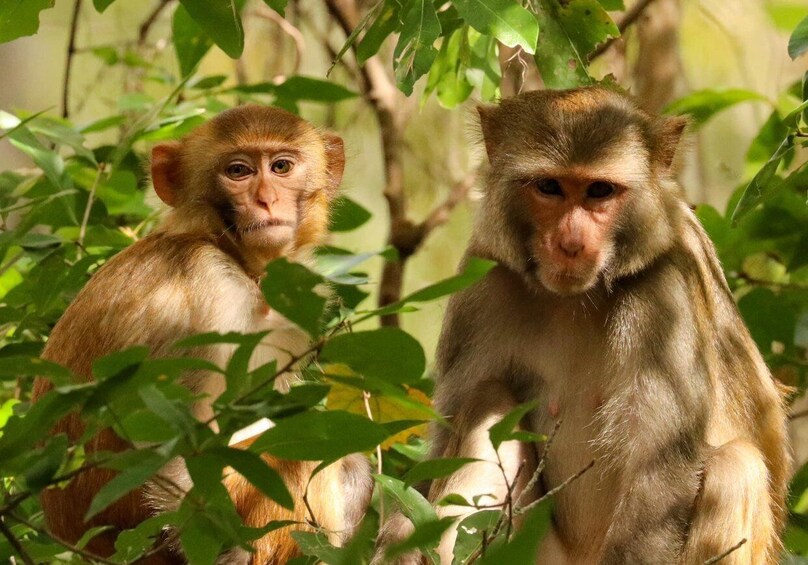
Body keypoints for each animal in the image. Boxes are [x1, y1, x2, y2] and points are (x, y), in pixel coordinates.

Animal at [31, 105, 372, 564]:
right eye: (238, 171)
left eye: (281, 167)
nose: (266, 199)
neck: (221, 245)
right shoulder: (209, 294)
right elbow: (174, 472)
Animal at [376, 87, 791, 564]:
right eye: (549, 187)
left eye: (600, 191)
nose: (571, 244)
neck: (573, 298)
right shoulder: (480, 291)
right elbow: (439, 450)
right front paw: (398, 540)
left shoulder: (665, 295)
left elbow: (658, 476)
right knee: (487, 401)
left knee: (734, 466)